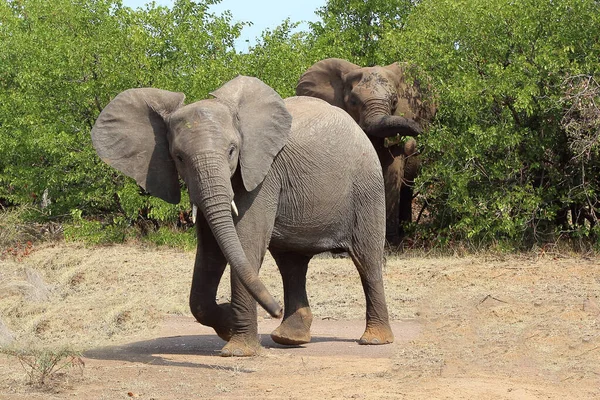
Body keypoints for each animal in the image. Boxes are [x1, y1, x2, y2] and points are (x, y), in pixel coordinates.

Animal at [91, 76, 394, 358]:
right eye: (178, 157)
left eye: (231, 151)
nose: (275, 309)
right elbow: (210, 252)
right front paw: (227, 325)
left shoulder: (263, 174)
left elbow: (246, 243)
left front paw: (237, 351)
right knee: (292, 264)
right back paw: (289, 339)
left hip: (367, 187)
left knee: (366, 260)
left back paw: (374, 340)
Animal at [296, 57, 434, 245]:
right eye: (353, 102)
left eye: (395, 102)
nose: (417, 131)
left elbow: (392, 171)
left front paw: (389, 243)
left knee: (407, 186)